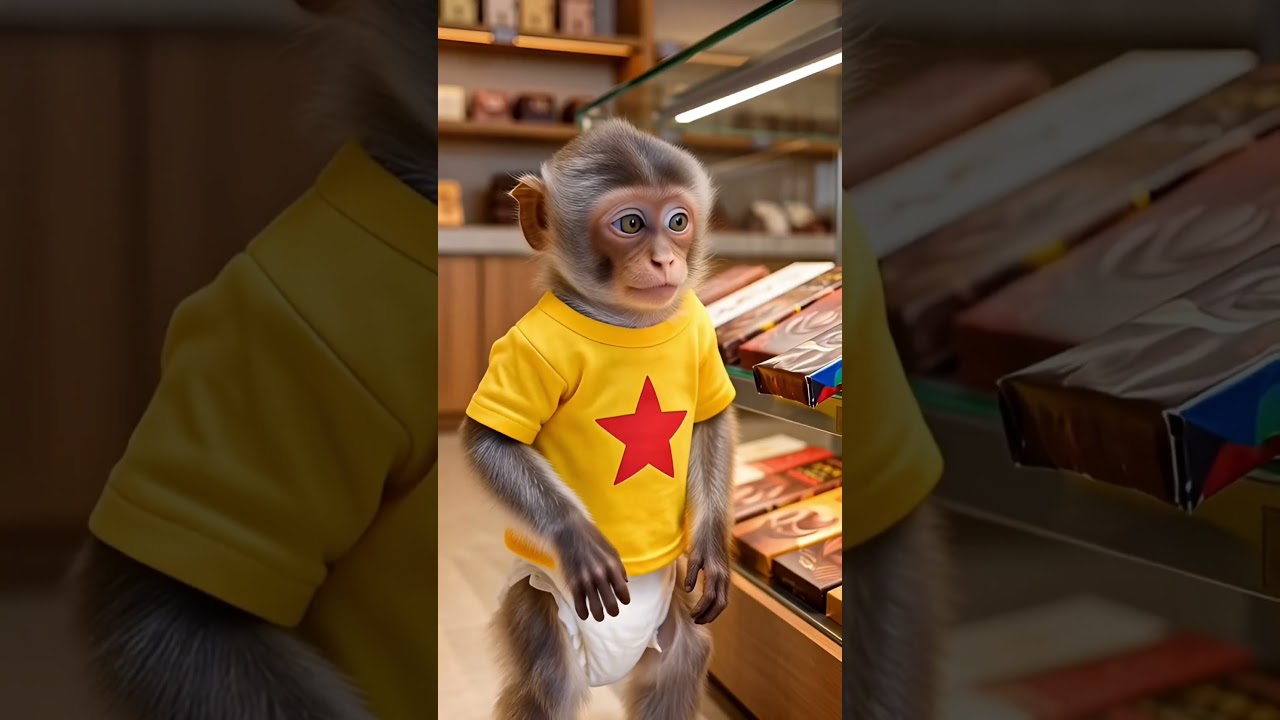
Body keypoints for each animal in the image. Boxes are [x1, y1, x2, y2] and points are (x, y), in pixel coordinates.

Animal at [458, 118, 738, 720]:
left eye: (678, 221)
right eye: (631, 223)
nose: (665, 260)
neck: (624, 321)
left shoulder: (701, 328)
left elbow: (712, 421)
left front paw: (711, 548)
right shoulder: (527, 348)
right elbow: (489, 439)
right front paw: (578, 537)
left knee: (680, 660)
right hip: (540, 602)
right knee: (546, 681)